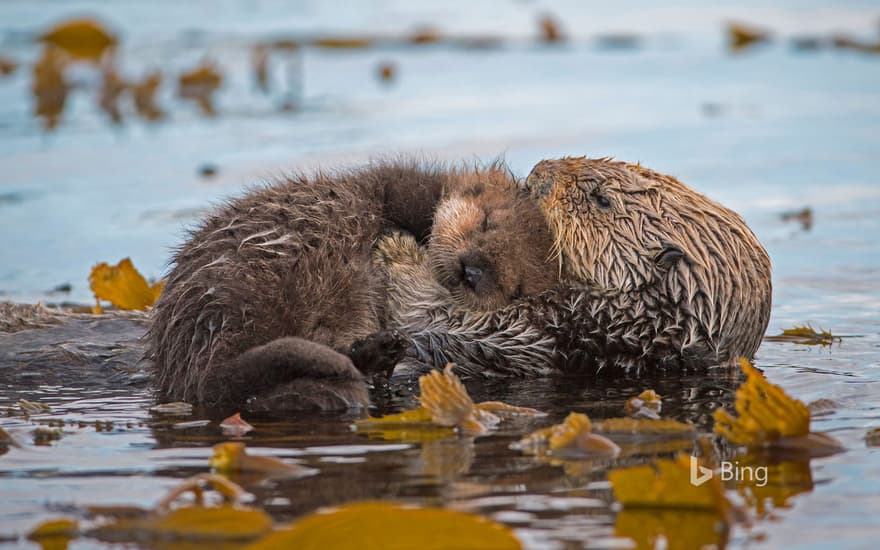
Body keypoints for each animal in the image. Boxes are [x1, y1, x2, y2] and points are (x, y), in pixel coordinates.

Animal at [146, 162, 556, 412]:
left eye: (516, 285)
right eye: (487, 222)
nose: (472, 270)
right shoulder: (402, 185)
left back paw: (380, 352)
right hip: (253, 284)